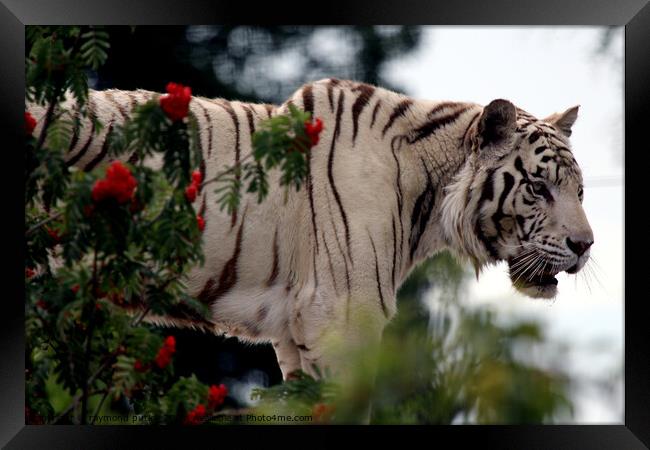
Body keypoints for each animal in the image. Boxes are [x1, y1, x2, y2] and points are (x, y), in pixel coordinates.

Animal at [26, 77, 592, 380]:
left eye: (580, 191)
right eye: (538, 187)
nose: (585, 245)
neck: (429, 197)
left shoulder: (294, 333)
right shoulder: (340, 318)